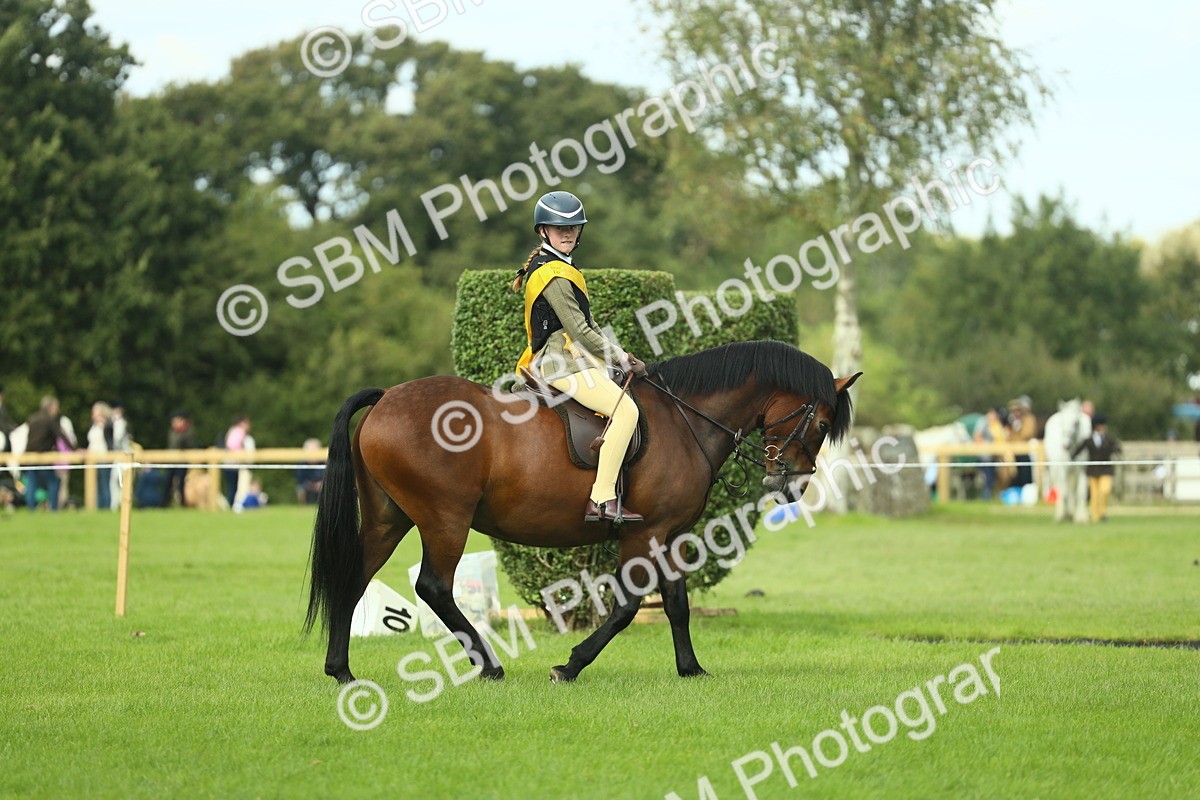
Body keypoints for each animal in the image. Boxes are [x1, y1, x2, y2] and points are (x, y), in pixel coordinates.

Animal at [305, 340, 860, 685]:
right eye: (822, 422)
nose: (791, 485)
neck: (685, 420)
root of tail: (386, 398)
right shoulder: (644, 535)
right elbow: (628, 606)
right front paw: (570, 666)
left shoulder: (671, 536)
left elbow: (676, 603)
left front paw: (691, 669)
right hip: (445, 521)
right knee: (434, 587)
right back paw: (489, 666)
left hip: (389, 519)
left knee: (354, 578)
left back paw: (341, 670)